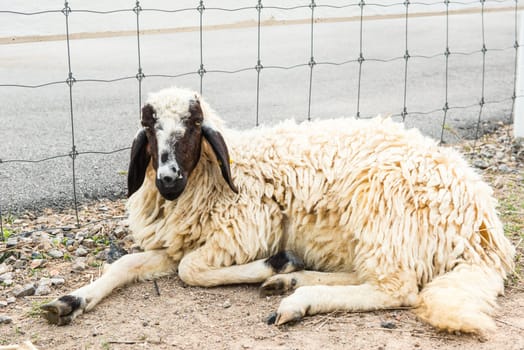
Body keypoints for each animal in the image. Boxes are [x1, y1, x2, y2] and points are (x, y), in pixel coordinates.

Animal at [41, 85, 516, 334]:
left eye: (193, 127)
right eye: (150, 128)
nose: (168, 179)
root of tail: (485, 231)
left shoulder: (246, 229)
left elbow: (191, 271)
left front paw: (272, 263)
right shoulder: (178, 242)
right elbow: (126, 266)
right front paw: (69, 301)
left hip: (382, 215)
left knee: (397, 289)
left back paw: (296, 296)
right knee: (371, 277)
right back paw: (292, 281)